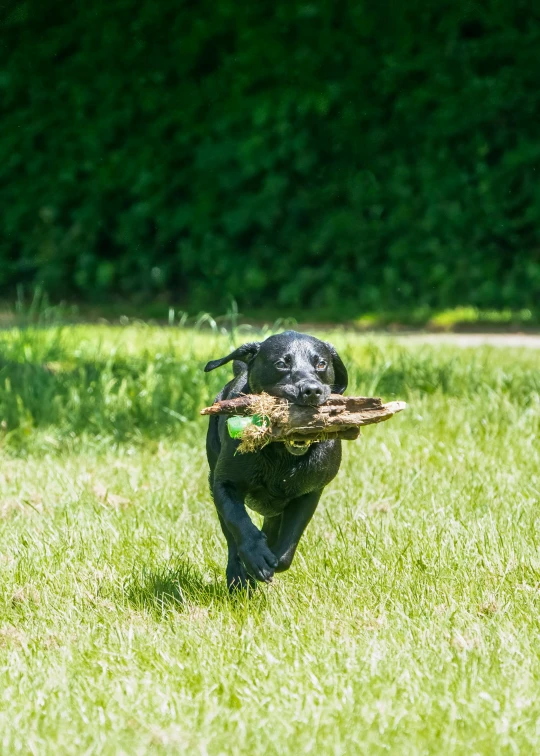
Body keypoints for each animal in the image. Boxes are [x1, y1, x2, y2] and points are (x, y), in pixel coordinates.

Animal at [205, 330, 348, 592]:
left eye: (321, 364)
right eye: (281, 363)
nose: (311, 390)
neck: (282, 453)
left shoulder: (309, 493)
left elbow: (286, 547)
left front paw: (268, 560)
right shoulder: (224, 485)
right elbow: (238, 523)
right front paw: (255, 557)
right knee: (231, 537)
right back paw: (237, 576)